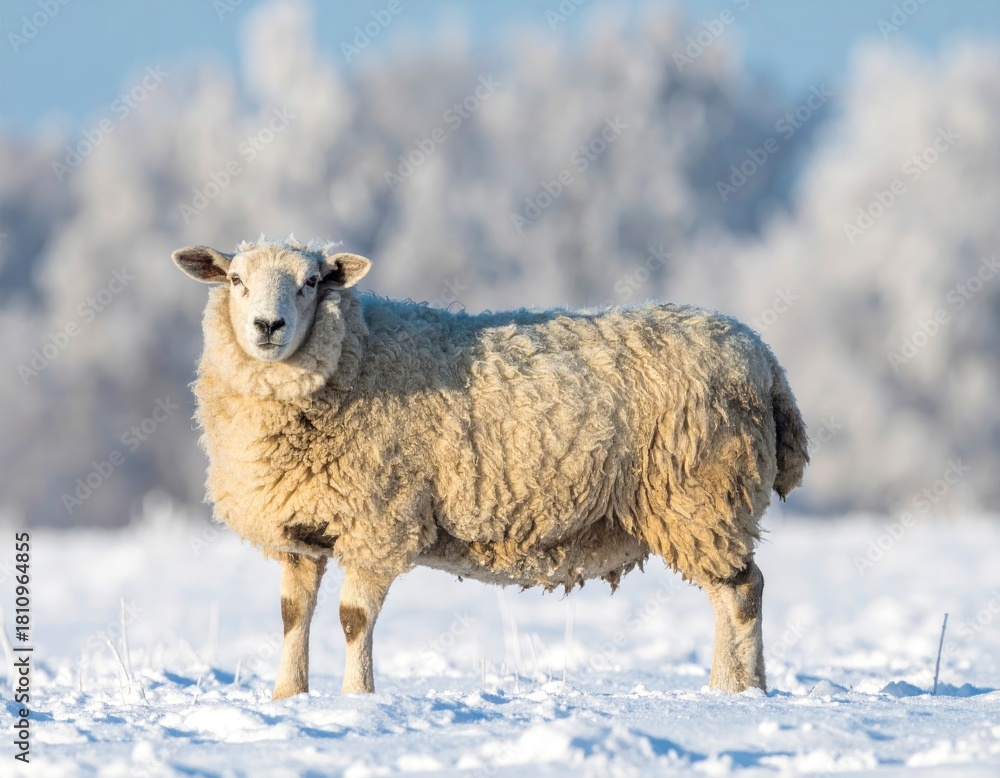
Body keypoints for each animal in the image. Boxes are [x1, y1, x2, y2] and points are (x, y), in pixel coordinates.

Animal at [172, 235, 809, 700]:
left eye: (310, 283)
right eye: (235, 280)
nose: (268, 327)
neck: (355, 356)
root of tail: (765, 359)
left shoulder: (380, 521)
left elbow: (353, 619)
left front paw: (358, 702)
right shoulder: (302, 529)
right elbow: (291, 616)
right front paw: (288, 699)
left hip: (702, 496)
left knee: (740, 594)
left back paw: (731, 693)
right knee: (744, 590)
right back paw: (746, 690)